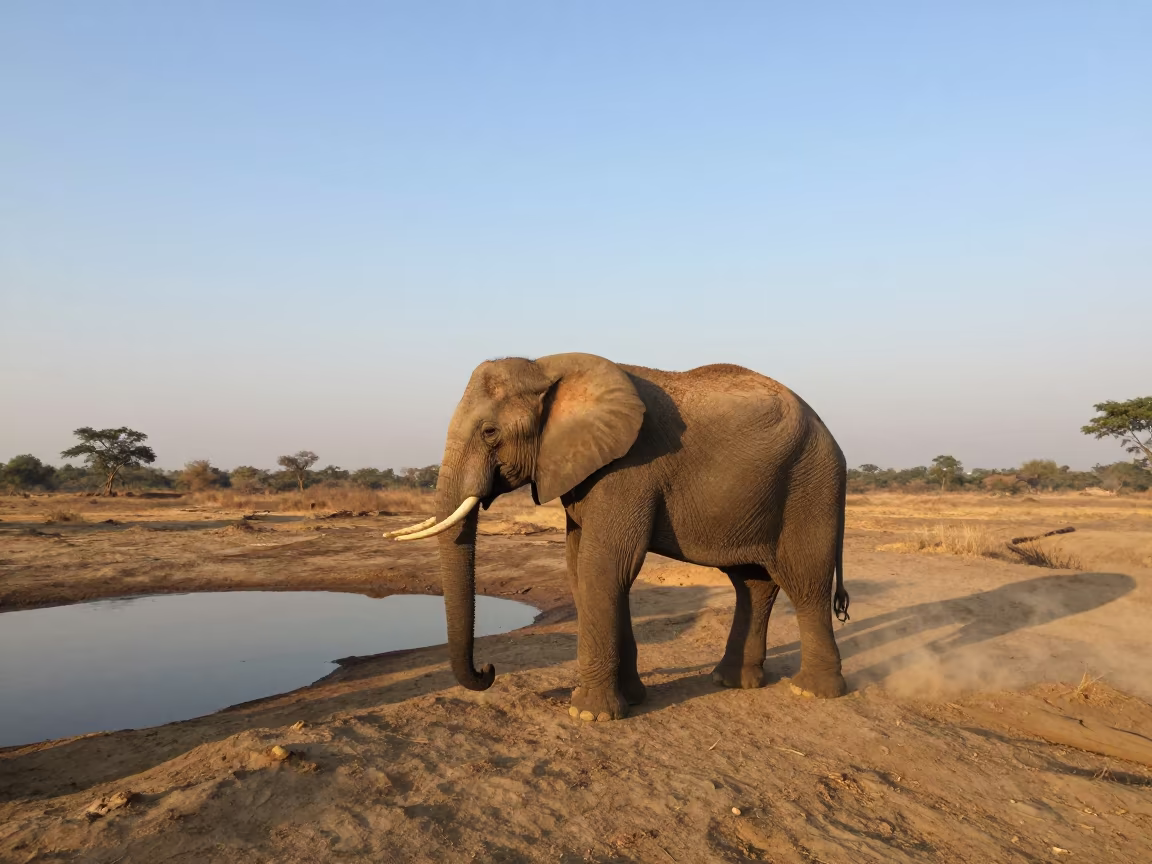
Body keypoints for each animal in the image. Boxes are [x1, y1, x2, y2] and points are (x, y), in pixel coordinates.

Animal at [386, 353, 850, 721]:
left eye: (489, 432)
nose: (488, 670)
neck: (548, 367)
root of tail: (832, 435)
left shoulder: (628, 470)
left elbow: (604, 567)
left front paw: (588, 714)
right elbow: (581, 569)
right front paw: (631, 699)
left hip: (811, 483)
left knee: (805, 580)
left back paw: (812, 691)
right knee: (752, 583)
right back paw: (731, 681)